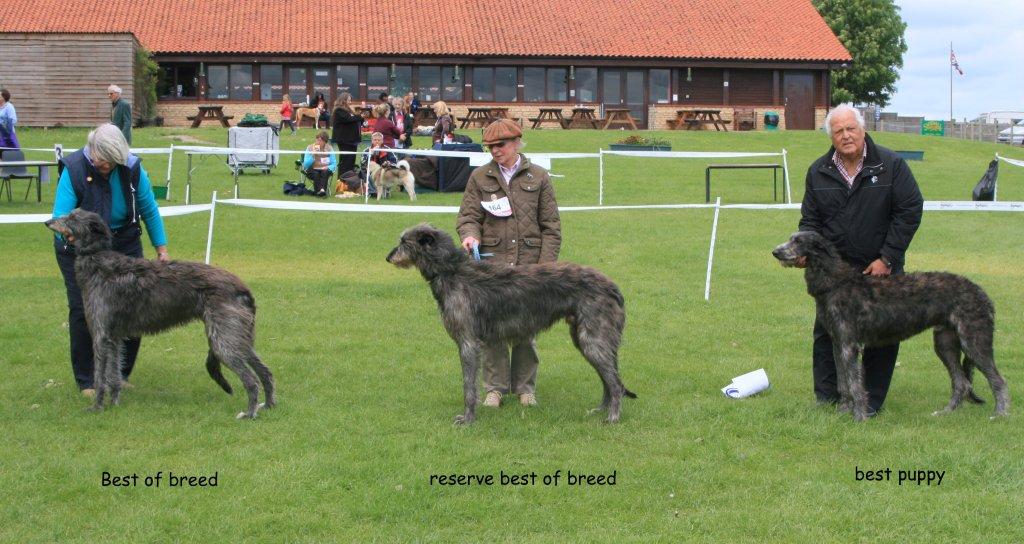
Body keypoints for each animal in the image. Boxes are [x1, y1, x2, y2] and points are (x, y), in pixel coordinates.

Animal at [46, 207, 274, 417]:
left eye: (72, 218)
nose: (48, 222)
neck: (97, 258)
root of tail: (242, 287)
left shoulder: (100, 335)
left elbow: (101, 377)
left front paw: (96, 407)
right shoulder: (114, 337)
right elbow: (114, 373)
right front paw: (115, 403)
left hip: (223, 340)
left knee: (251, 379)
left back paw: (250, 413)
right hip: (237, 336)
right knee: (265, 371)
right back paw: (269, 405)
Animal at [387, 224, 634, 426]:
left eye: (404, 242)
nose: (388, 257)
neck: (451, 271)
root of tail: (612, 286)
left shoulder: (468, 343)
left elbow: (468, 385)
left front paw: (468, 419)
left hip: (593, 339)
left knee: (614, 382)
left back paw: (612, 417)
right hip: (585, 338)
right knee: (609, 378)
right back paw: (601, 410)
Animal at [774, 229, 1007, 422]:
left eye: (798, 241)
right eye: (791, 238)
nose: (775, 251)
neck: (836, 283)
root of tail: (983, 295)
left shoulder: (849, 345)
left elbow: (854, 383)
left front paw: (859, 418)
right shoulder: (838, 342)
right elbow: (843, 382)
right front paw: (843, 412)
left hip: (974, 340)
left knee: (999, 380)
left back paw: (1000, 414)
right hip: (945, 343)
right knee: (961, 382)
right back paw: (945, 413)